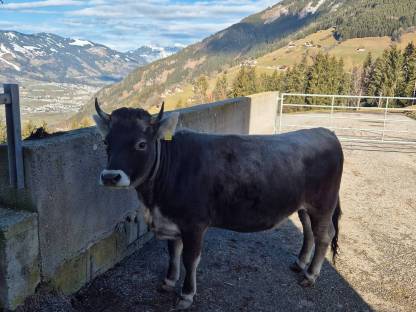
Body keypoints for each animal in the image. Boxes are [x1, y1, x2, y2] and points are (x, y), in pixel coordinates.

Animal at [94, 100, 344, 310]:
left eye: (141, 144)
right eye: (106, 142)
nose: (110, 176)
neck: (154, 200)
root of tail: (325, 132)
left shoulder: (194, 224)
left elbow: (189, 259)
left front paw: (186, 295)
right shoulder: (171, 221)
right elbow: (173, 253)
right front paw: (168, 281)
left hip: (323, 205)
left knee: (324, 236)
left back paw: (310, 275)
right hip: (305, 206)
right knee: (309, 231)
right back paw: (300, 263)